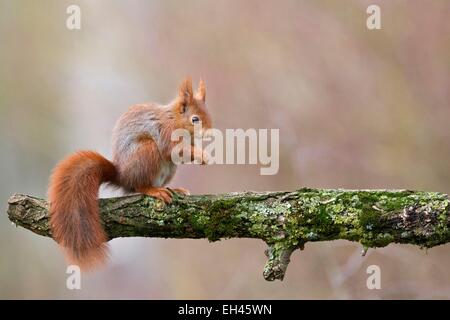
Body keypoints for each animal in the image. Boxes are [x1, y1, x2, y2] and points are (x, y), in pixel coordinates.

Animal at [47, 78, 213, 270]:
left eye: (209, 114)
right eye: (195, 119)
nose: (210, 133)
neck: (175, 119)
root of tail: (122, 176)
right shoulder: (166, 132)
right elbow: (174, 150)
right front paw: (203, 155)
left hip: (169, 170)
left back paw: (174, 189)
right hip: (147, 151)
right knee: (139, 186)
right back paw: (154, 191)